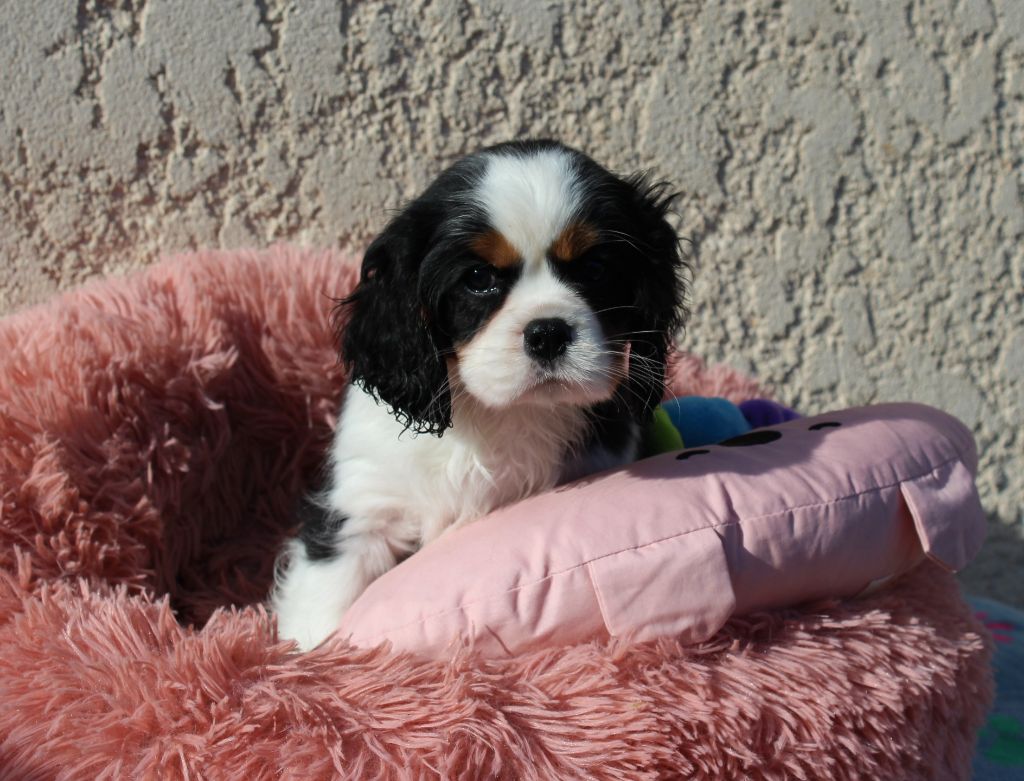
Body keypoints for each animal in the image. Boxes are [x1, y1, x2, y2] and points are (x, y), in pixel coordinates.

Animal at [272, 142, 688, 655]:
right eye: (477, 278)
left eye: (594, 269)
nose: (548, 332)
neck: (499, 416)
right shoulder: (362, 502)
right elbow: (325, 602)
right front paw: (313, 663)